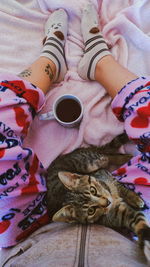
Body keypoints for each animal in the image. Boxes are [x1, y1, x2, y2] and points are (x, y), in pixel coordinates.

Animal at [46, 133, 149, 262]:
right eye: (91, 211)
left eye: (93, 190)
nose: (107, 202)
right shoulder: (121, 215)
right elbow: (139, 222)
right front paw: (145, 244)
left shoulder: (107, 176)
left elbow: (122, 188)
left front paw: (135, 198)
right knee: (107, 156)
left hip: (89, 163)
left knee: (106, 156)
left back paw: (126, 157)